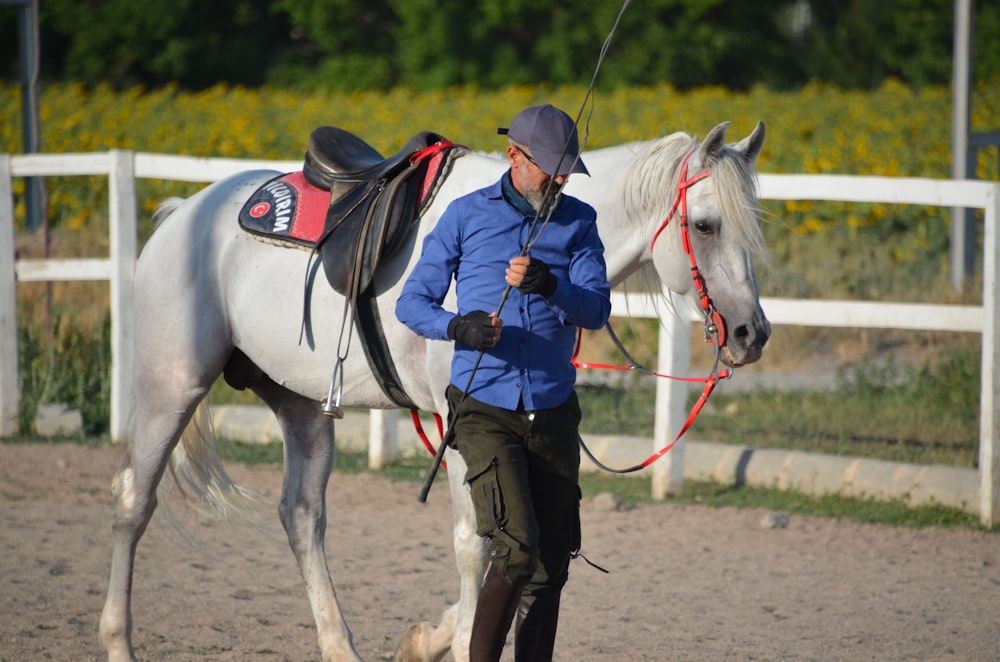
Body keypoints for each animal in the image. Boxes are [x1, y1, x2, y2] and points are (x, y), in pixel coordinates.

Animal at [101, 120, 768, 662]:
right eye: (705, 225)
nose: (751, 333)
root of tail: (186, 213)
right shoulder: (466, 431)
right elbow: (477, 547)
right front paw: (458, 636)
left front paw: (431, 638)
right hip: (170, 386)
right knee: (134, 501)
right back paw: (118, 642)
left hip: (302, 405)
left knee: (302, 516)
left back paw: (340, 647)